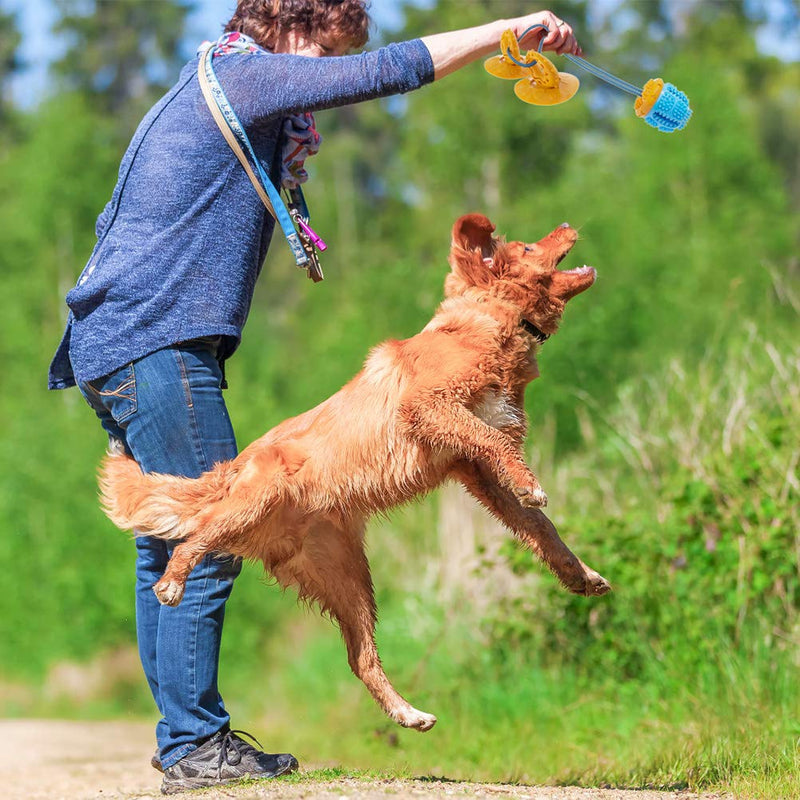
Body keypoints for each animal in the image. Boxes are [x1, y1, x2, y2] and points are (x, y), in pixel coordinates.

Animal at [101, 212, 612, 732]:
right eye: (528, 247)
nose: (567, 223)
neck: (485, 322)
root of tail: (233, 467)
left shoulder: (477, 472)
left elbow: (541, 529)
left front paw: (581, 574)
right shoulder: (428, 406)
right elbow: (495, 445)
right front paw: (531, 484)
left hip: (348, 578)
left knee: (360, 658)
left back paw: (408, 713)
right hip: (252, 506)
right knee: (193, 537)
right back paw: (172, 582)